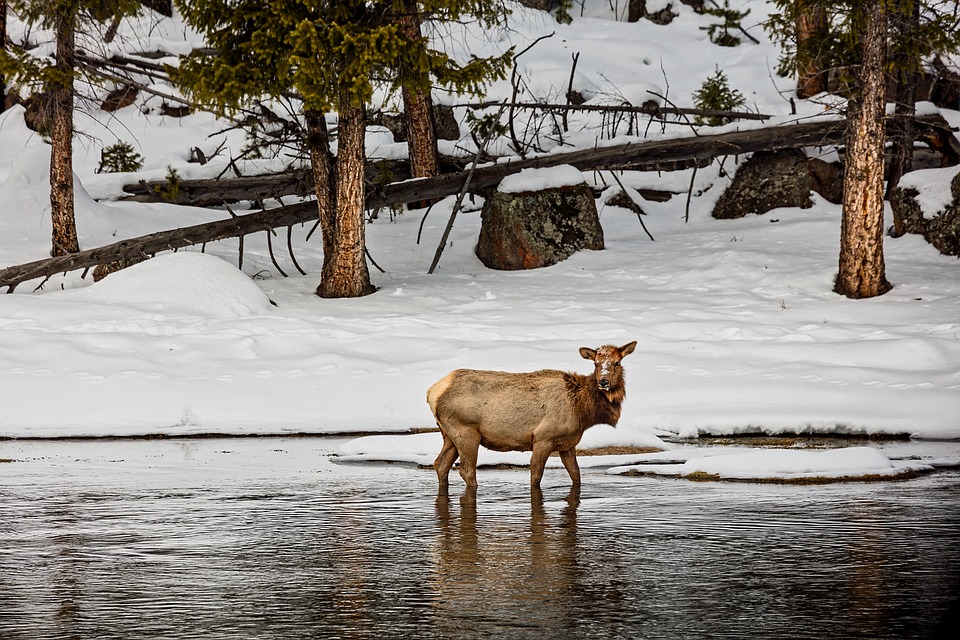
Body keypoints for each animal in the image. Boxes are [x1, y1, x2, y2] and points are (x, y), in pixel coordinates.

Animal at [428, 342, 636, 488]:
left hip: (449, 434)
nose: (603, 382)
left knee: (440, 464)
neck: (583, 411)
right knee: (466, 470)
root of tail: (432, 392)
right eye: (596, 364)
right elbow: (535, 476)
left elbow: (576, 475)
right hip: (466, 431)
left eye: (617, 363)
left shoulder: (568, 443)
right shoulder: (543, 438)